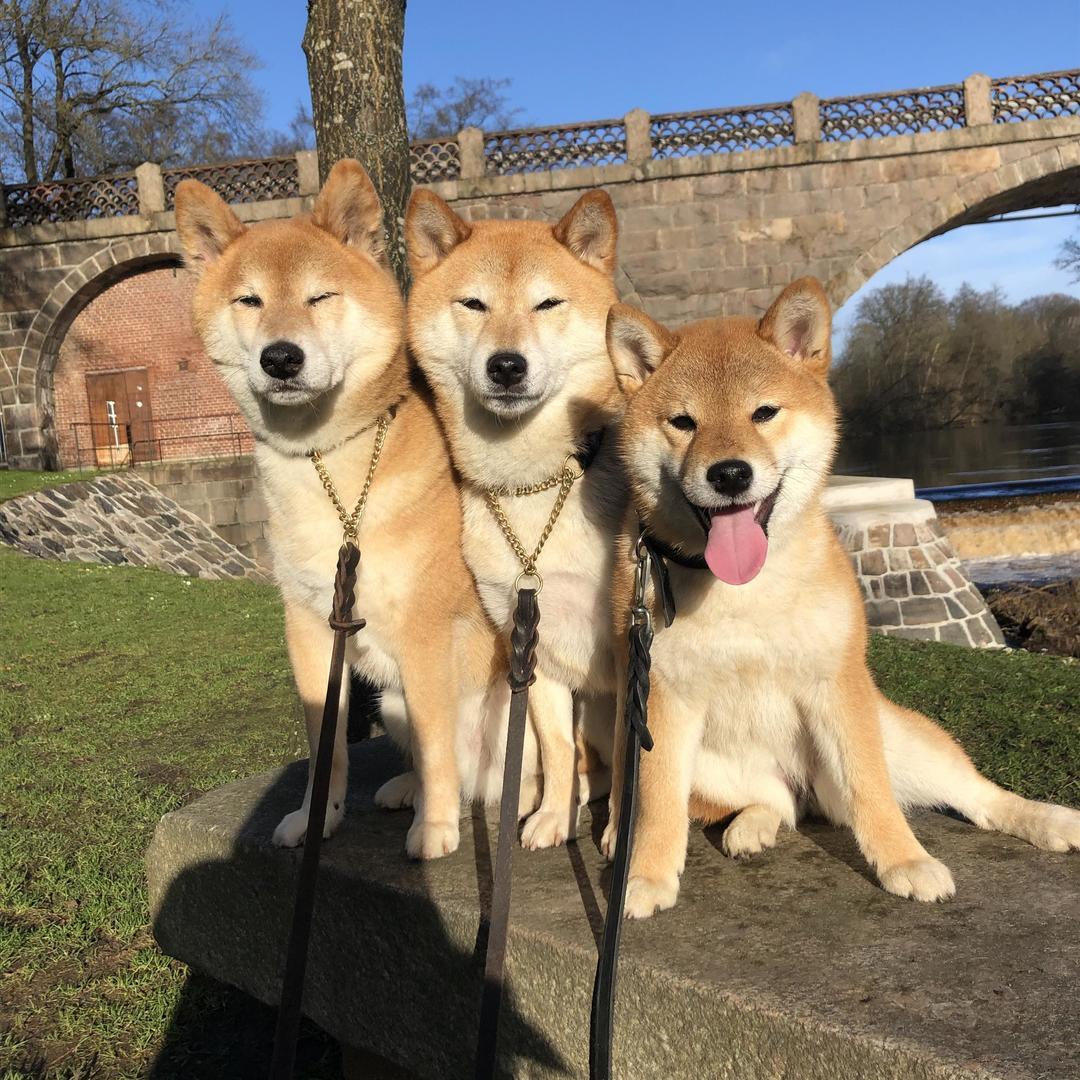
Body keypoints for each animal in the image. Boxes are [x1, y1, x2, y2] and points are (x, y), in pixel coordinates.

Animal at [174, 159, 533, 859]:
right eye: (249, 300)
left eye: (320, 298)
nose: (281, 356)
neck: (332, 471)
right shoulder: (310, 629)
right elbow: (326, 747)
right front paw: (319, 815)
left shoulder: (425, 629)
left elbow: (436, 742)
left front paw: (436, 830)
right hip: (389, 699)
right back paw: (407, 789)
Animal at [406, 190, 626, 846]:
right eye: (474, 304)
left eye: (547, 303)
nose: (507, 365)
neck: (533, 486)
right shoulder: (532, 641)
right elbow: (554, 747)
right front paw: (554, 815)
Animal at [600, 278, 1080, 920]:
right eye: (683, 421)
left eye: (764, 412)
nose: (729, 473)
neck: (743, 589)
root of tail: (809, 791)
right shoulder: (660, 702)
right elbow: (655, 805)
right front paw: (647, 874)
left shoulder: (837, 685)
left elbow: (872, 791)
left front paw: (903, 861)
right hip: (713, 768)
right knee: (775, 804)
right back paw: (751, 827)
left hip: (902, 740)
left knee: (974, 796)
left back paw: (1048, 821)